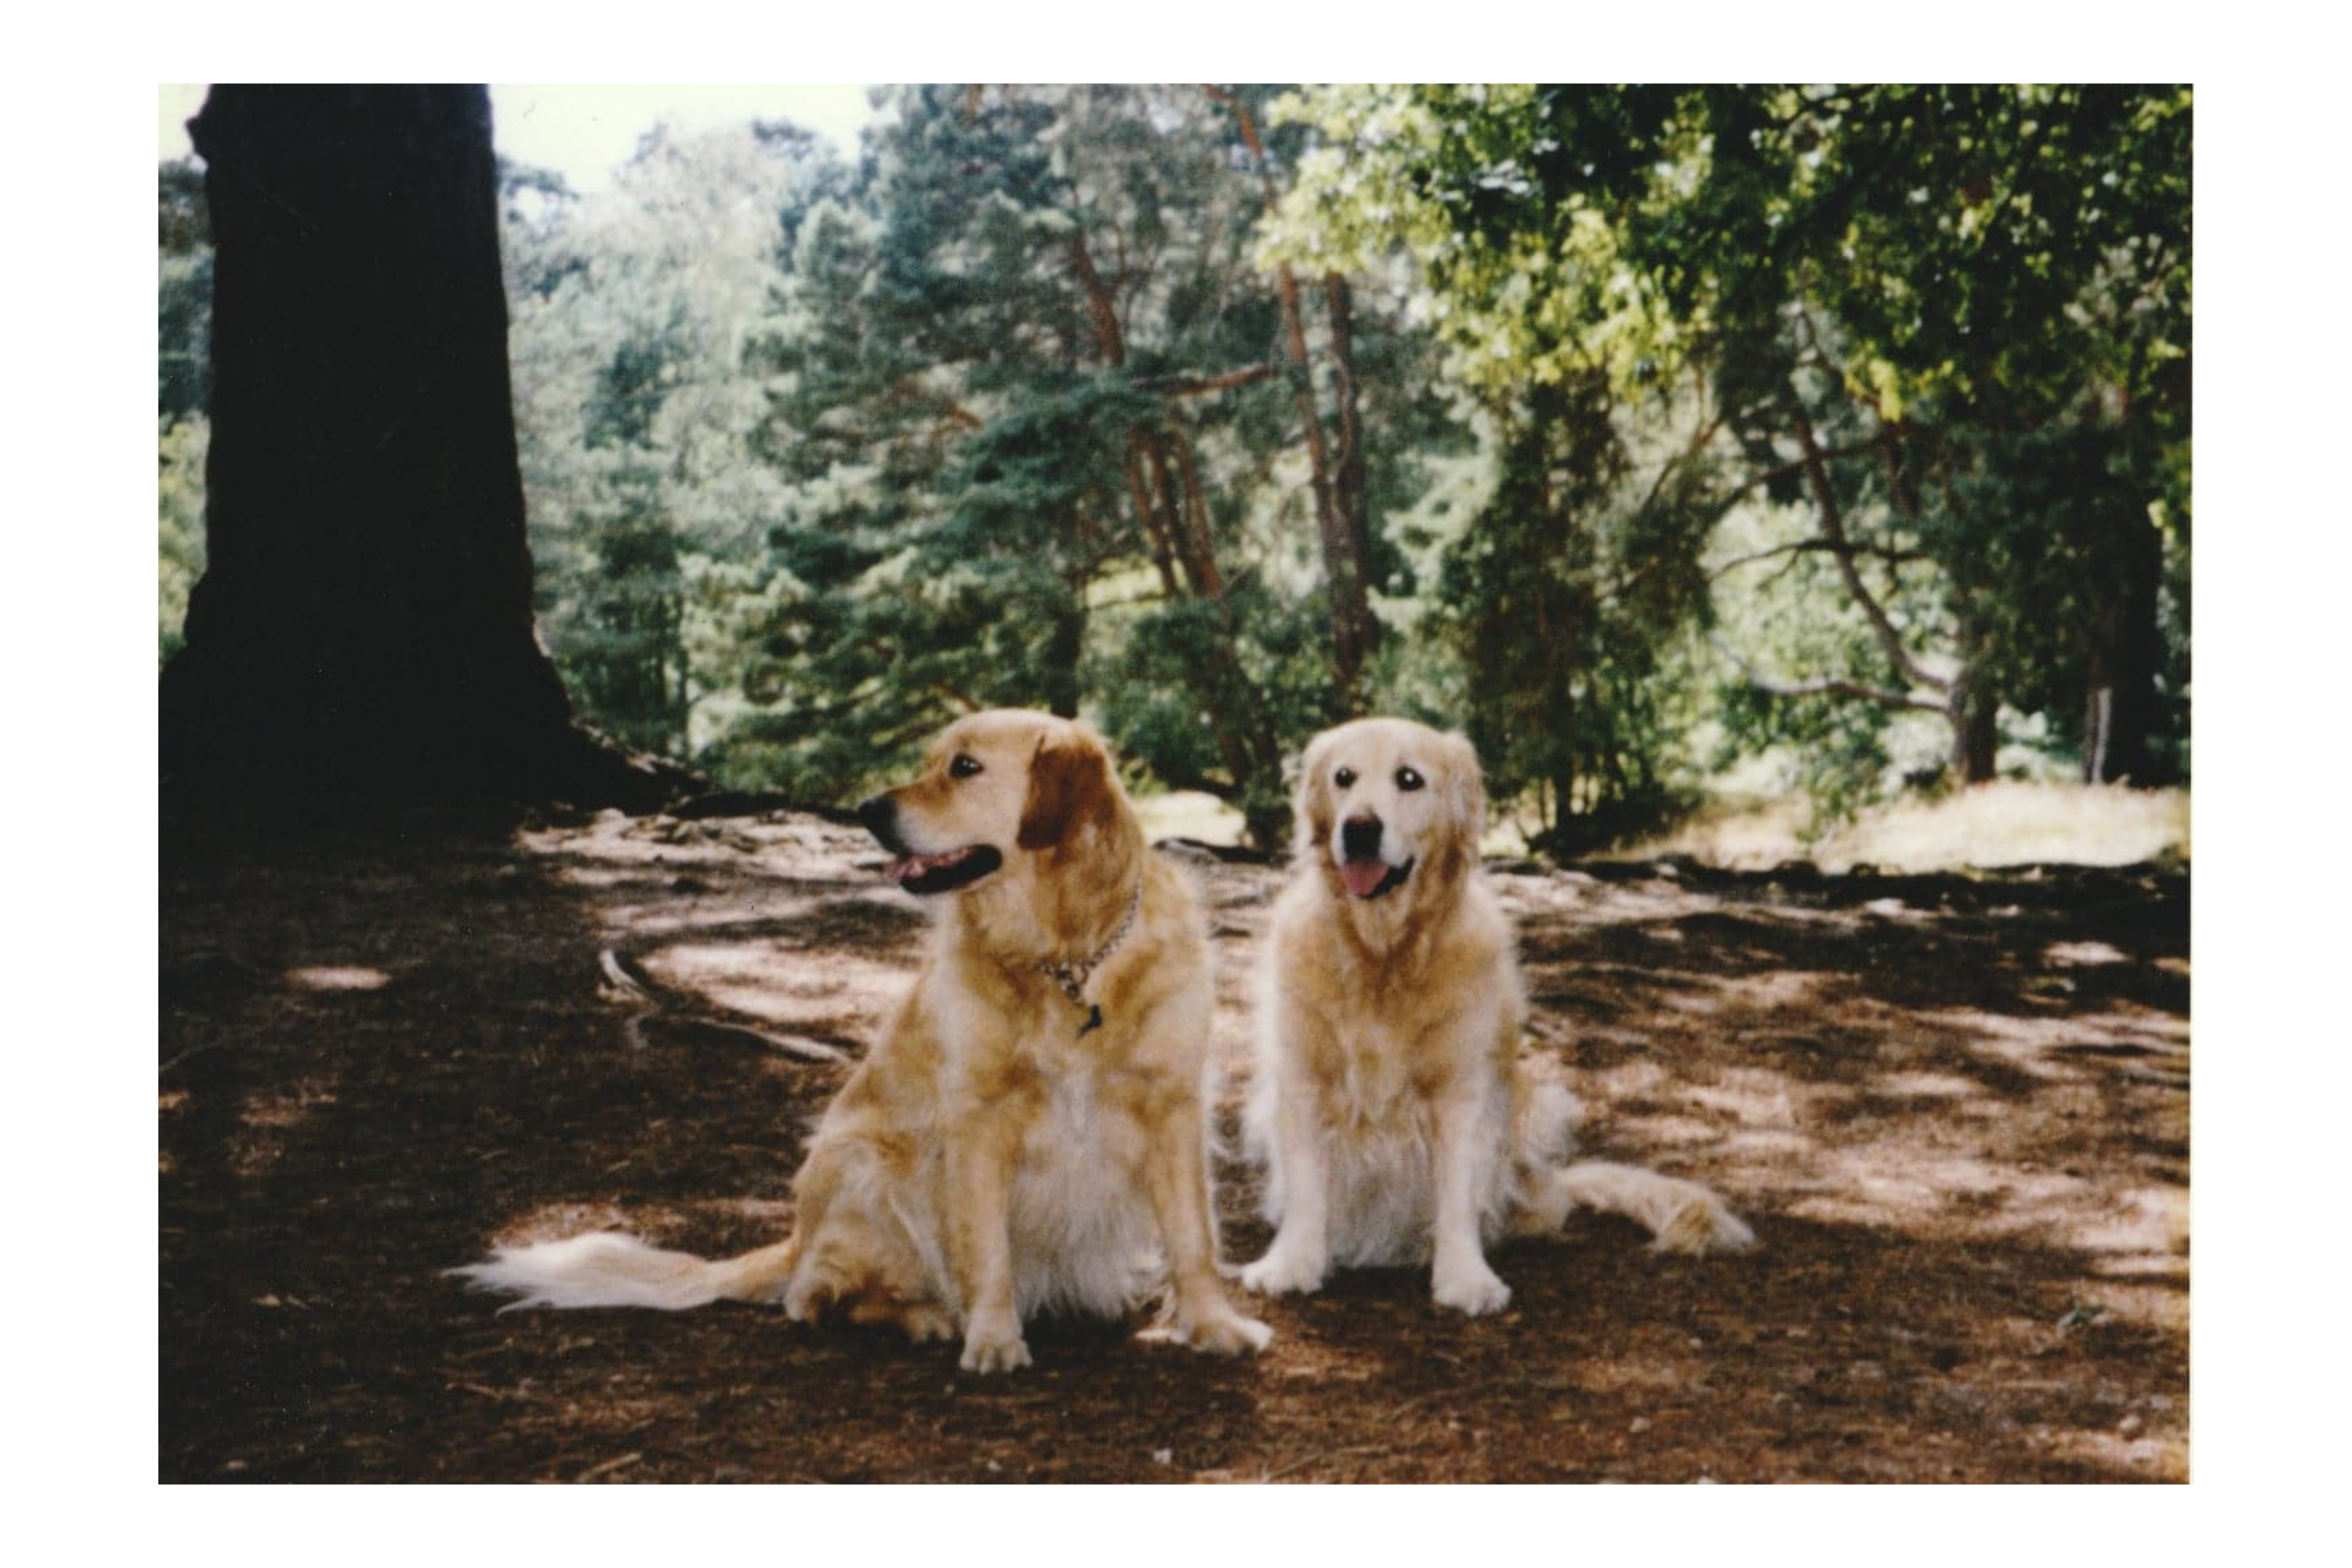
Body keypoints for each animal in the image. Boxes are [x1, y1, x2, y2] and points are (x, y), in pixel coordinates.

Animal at [456, 710, 1270, 1373]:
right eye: (933, 759)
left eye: (965, 767)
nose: (866, 810)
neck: (1065, 956)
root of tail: (795, 1237)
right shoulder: (976, 1123)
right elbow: (987, 1249)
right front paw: (993, 1339)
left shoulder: (1172, 1106)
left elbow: (1195, 1238)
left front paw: (1214, 1326)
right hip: (862, 1166)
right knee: (813, 1298)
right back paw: (926, 1316)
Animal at [1242, 719, 1759, 1316]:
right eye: (1343, 777)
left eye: (1409, 779)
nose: (1360, 829)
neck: (1383, 955)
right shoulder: (1302, 1079)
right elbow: (1306, 1186)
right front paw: (1290, 1263)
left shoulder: (1463, 1091)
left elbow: (1458, 1195)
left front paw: (1465, 1277)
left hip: (1537, 1110)